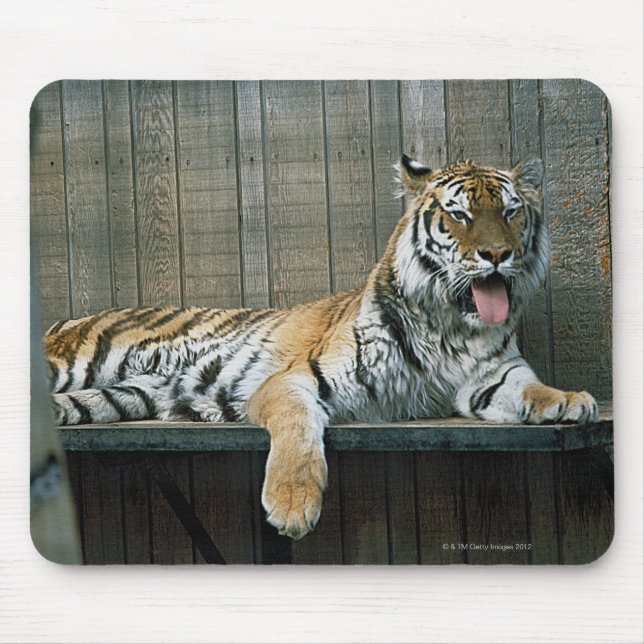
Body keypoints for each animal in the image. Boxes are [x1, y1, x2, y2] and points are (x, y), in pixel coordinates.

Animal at [44, 154, 598, 540]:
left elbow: (529, 388)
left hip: (121, 396)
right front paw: (292, 506)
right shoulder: (294, 380)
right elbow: (297, 427)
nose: (497, 254)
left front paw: (570, 400)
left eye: (511, 212)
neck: (447, 325)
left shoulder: (491, 377)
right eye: (458, 214)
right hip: (71, 364)